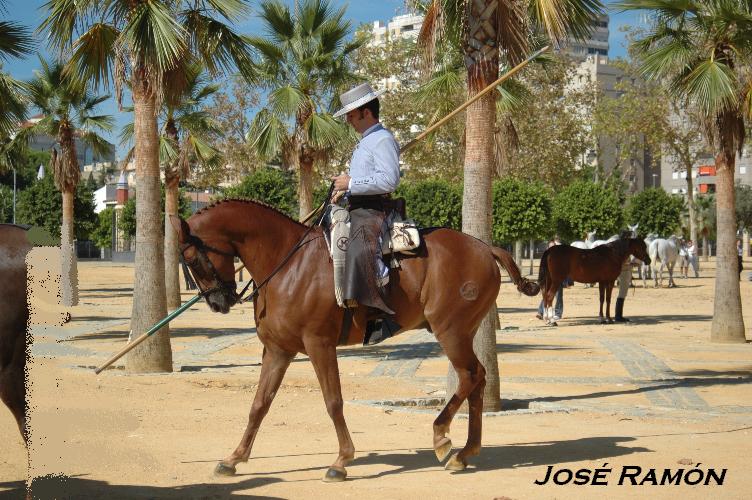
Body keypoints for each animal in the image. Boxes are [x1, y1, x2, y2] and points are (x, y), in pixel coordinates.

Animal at [169, 198, 540, 480]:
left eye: (190, 258)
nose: (218, 303)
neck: (287, 263)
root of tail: (485, 247)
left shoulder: (319, 345)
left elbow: (333, 401)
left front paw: (341, 460)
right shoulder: (278, 350)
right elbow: (259, 404)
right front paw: (234, 458)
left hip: (450, 331)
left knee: (469, 376)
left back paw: (442, 437)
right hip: (463, 332)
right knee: (478, 380)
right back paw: (465, 451)